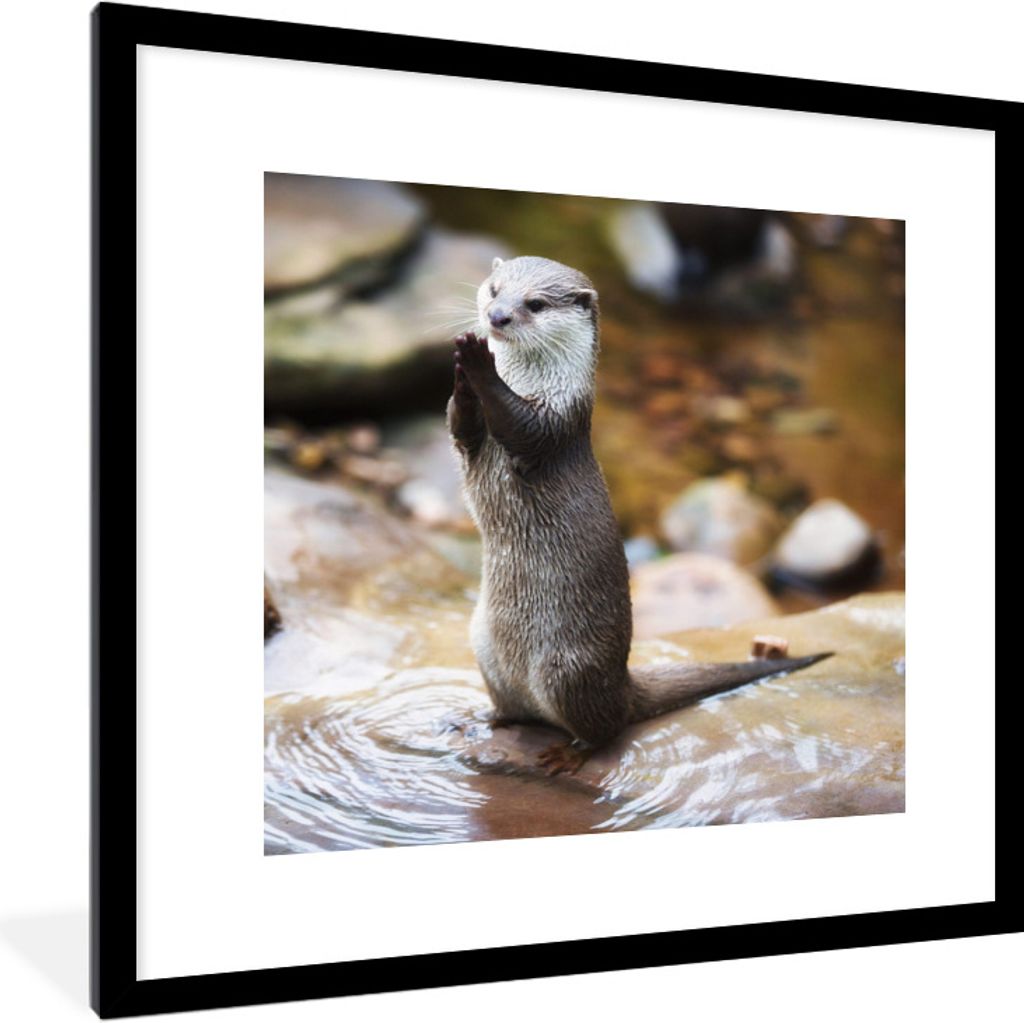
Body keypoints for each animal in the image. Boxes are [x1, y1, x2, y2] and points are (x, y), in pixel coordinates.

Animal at [447, 256, 830, 773]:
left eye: (536, 304)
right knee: (519, 708)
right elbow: (460, 426)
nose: (497, 317)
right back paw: (484, 719)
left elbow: (524, 427)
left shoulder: (557, 421)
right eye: (494, 289)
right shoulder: (472, 441)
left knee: (605, 728)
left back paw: (566, 756)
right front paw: (462, 377)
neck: (535, 382)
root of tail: (623, 681)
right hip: (484, 646)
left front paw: (479, 365)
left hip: (567, 670)